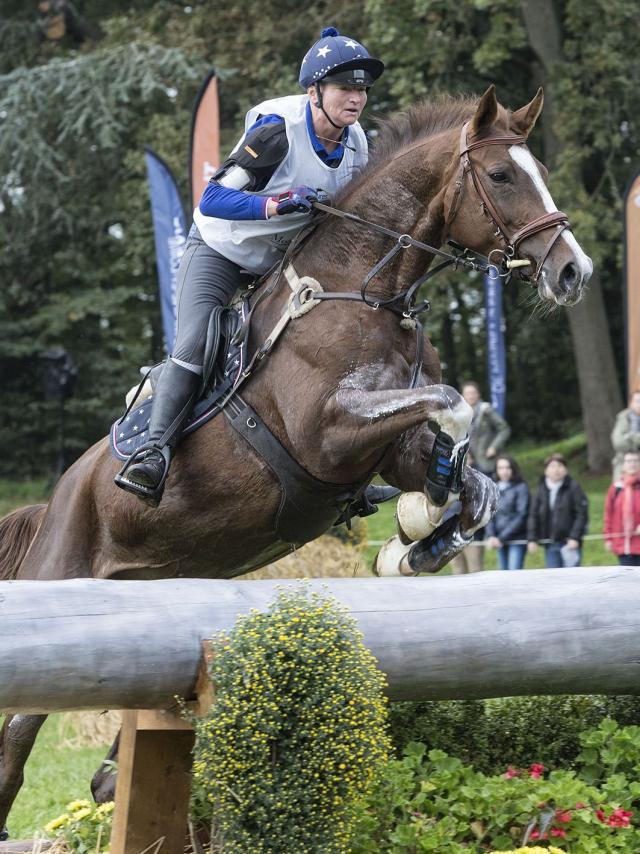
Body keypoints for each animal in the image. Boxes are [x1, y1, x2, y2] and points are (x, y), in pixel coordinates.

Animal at [0, 83, 592, 824]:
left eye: (536, 168)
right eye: (502, 175)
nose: (574, 271)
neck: (365, 289)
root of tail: (51, 501)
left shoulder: (384, 447)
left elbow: (472, 486)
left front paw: (417, 536)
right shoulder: (326, 434)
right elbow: (454, 401)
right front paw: (418, 524)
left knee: (110, 773)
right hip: (61, 577)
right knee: (13, 745)